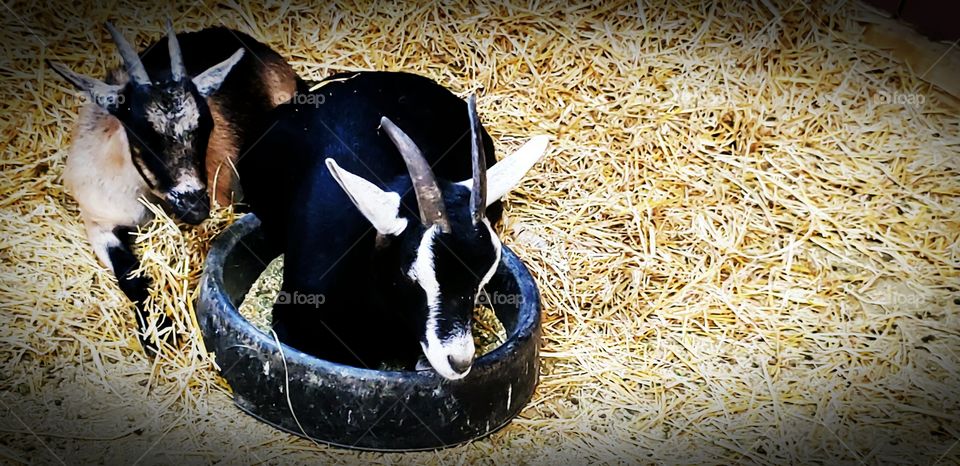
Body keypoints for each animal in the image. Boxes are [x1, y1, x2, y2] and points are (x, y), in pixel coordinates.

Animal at [48, 22, 302, 353]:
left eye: (206, 128)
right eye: (144, 137)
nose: (196, 206)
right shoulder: (98, 223)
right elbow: (129, 273)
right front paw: (158, 332)